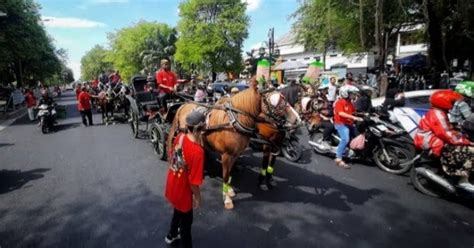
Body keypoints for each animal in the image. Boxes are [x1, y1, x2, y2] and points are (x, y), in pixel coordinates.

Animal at [168, 77, 262, 209]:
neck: (233, 121)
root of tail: (183, 105)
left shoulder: (235, 154)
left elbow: (229, 173)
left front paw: (229, 190)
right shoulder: (226, 155)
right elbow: (225, 175)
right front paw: (227, 198)